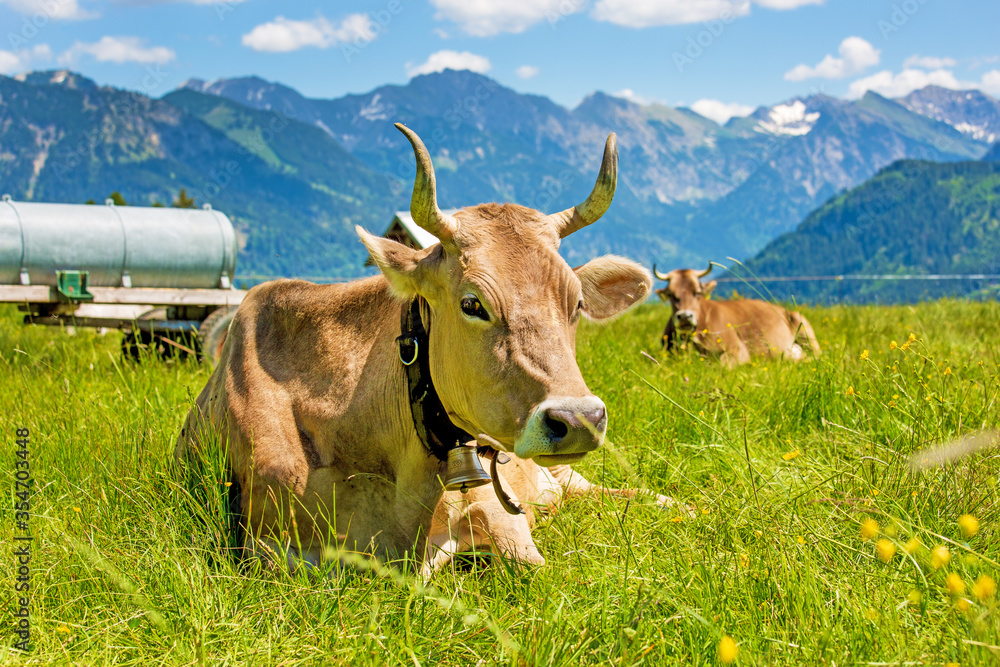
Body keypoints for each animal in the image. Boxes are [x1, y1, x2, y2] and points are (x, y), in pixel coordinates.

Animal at [656, 264, 820, 368]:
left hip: (802, 325)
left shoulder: (738, 349)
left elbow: (720, 365)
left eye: (697, 293)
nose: (685, 316)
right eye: (671, 295)